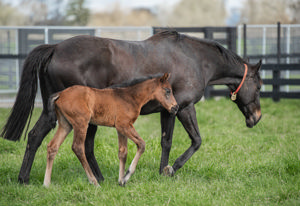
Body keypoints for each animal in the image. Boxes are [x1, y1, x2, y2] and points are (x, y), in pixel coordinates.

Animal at [42, 73, 178, 187]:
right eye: (168, 91)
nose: (175, 107)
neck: (129, 97)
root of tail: (60, 94)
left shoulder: (120, 128)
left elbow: (123, 152)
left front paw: (121, 180)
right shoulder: (124, 125)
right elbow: (141, 144)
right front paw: (126, 176)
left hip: (66, 125)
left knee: (52, 146)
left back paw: (46, 184)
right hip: (81, 123)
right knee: (78, 147)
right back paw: (94, 182)